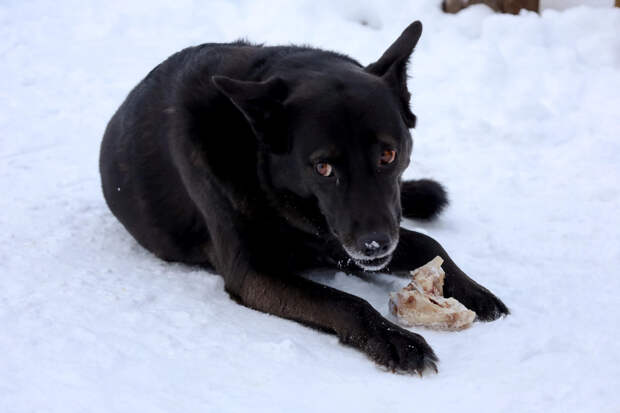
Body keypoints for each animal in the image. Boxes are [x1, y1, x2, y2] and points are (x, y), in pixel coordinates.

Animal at [100, 20, 508, 374]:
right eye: (323, 167)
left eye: (388, 155)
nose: (374, 245)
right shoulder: (254, 273)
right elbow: (345, 301)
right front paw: (397, 340)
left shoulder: (354, 235)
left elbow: (428, 242)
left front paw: (474, 291)